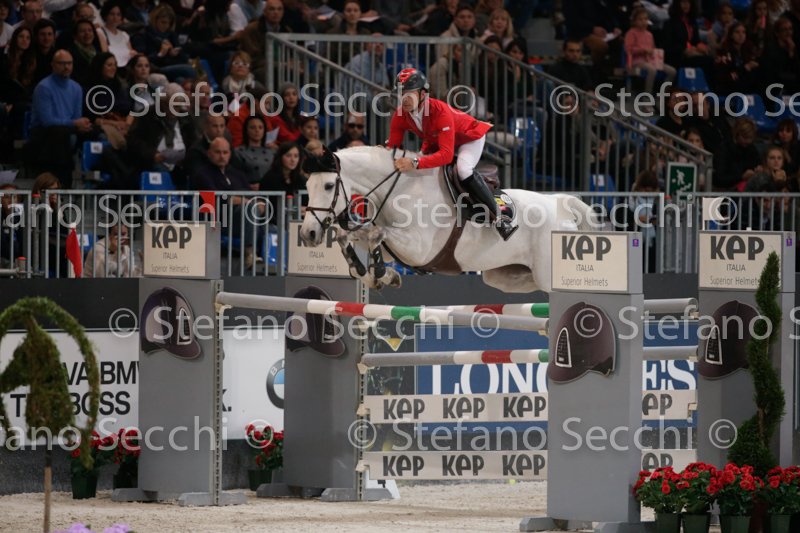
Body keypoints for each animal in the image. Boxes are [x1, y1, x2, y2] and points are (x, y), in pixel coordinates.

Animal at [299, 145, 597, 293]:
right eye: (307, 185)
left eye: (328, 186)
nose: (308, 235)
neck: (399, 188)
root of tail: (560, 205)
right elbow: (349, 235)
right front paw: (373, 274)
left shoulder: (418, 248)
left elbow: (376, 233)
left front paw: (382, 274)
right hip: (504, 276)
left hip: (546, 271)